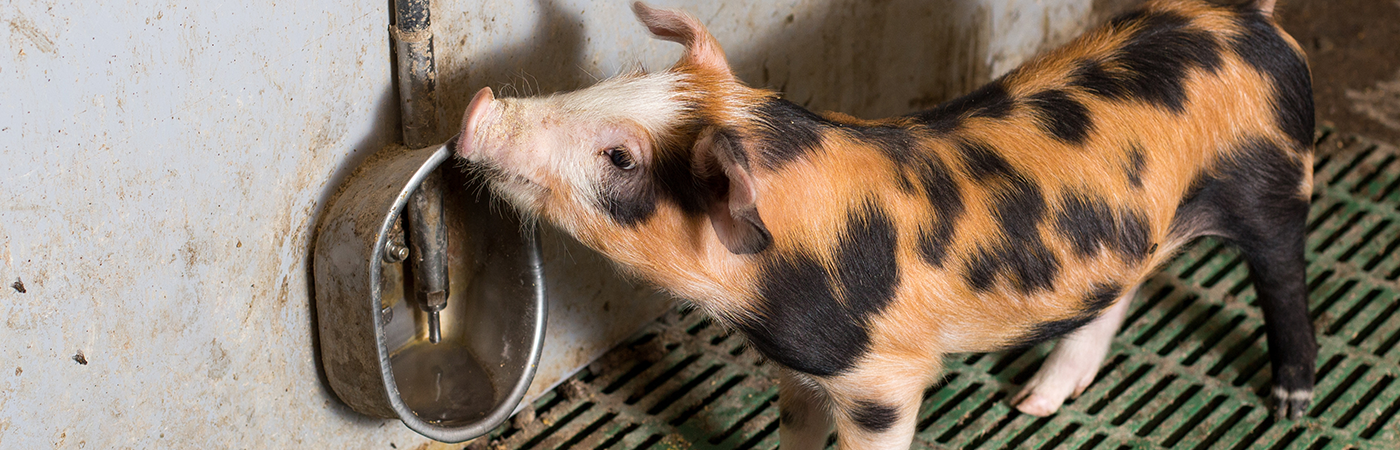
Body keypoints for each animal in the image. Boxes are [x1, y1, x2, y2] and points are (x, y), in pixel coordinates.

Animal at [454, 0, 1316, 448]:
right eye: (618, 80)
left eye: (620, 158)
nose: (477, 105)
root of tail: (1252, 18)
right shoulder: (805, 367)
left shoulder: (884, 381)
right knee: (1119, 291)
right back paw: (1033, 404)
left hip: (1275, 181)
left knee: (1283, 280)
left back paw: (1292, 403)